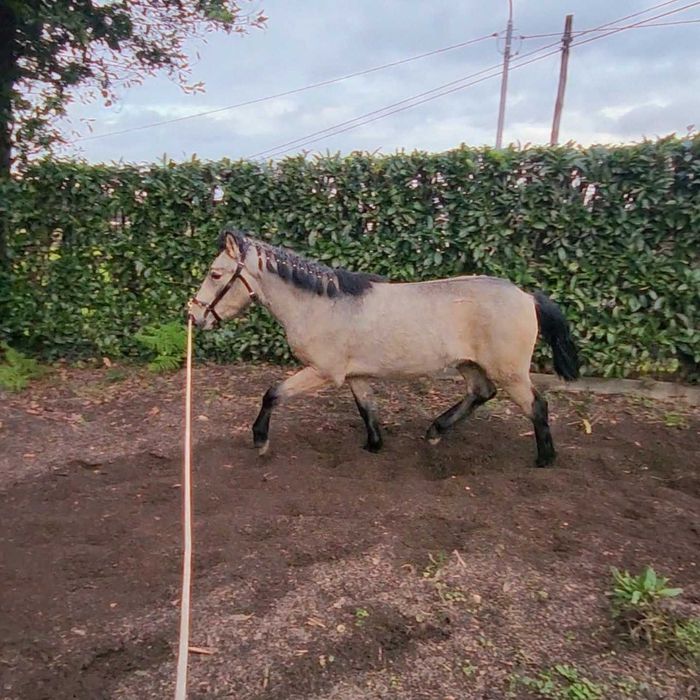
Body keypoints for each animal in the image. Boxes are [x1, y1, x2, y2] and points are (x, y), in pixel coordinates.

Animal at [189, 228, 580, 467]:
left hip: (510, 371)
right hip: (468, 363)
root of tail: (527, 296)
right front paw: (374, 445)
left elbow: (272, 394)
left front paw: (260, 440)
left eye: (215, 274)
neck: (322, 304)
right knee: (481, 393)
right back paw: (435, 431)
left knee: (536, 406)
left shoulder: (323, 372)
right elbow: (367, 409)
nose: (194, 315)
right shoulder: (356, 375)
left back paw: (545, 459)